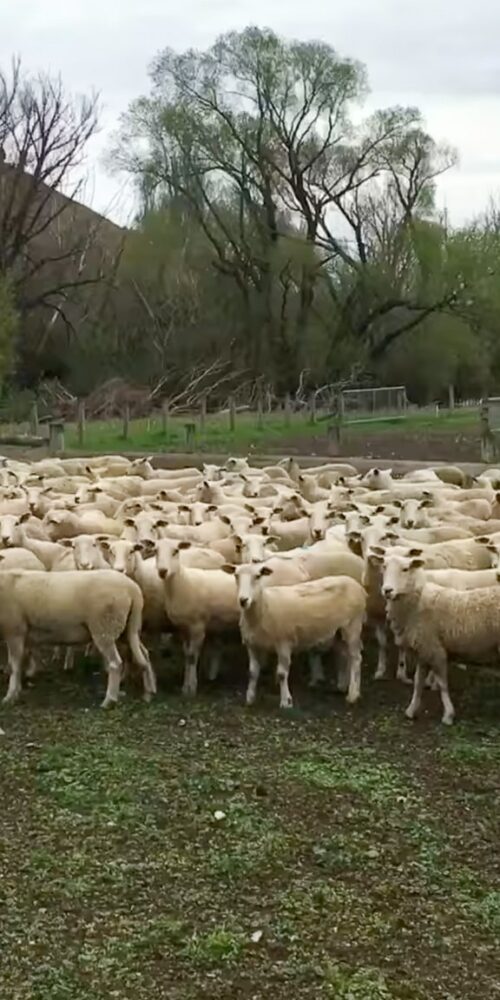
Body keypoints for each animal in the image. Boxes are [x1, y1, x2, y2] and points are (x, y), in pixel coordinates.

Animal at [229, 564, 366, 712]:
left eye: (258, 576)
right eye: (236, 576)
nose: (243, 600)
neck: (264, 608)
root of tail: (356, 584)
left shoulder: (283, 643)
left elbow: (282, 674)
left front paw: (286, 701)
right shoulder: (252, 645)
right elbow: (252, 672)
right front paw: (250, 698)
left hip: (353, 625)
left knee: (356, 658)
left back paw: (353, 695)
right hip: (338, 631)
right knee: (345, 655)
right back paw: (343, 686)